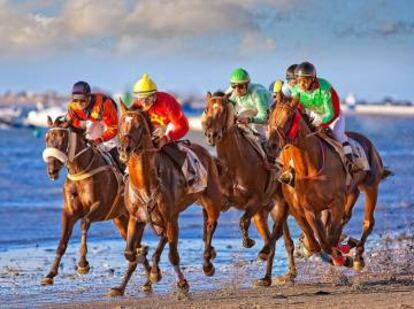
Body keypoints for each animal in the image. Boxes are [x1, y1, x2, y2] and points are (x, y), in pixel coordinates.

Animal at [40, 116, 129, 286]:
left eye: (62, 138)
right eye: (47, 138)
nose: (51, 171)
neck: (80, 171)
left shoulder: (101, 206)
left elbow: (84, 222)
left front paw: (82, 264)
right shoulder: (69, 211)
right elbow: (63, 241)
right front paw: (50, 273)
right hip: (121, 218)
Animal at [108, 104, 225, 294]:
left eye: (139, 126)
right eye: (120, 125)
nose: (124, 149)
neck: (145, 183)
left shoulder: (171, 218)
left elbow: (173, 255)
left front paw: (182, 282)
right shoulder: (136, 218)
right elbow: (129, 253)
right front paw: (139, 272)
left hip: (211, 200)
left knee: (210, 226)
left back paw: (208, 262)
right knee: (165, 236)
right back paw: (153, 269)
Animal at [203, 89, 294, 282]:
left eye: (222, 111)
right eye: (206, 109)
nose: (211, 135)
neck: (233, 165)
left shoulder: (256, 201)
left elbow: (243, 221)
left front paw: (248, 241)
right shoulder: (219, 202)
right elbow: (210, 226)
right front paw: (208, 263)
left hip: (279, 203)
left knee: (277, 235)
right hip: (266, 211)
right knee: (278, 238)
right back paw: (267, 278)